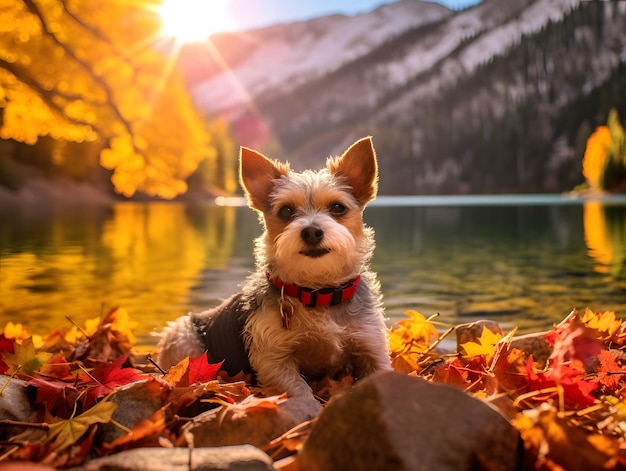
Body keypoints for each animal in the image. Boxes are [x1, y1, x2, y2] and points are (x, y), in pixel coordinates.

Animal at [156, 136, 390, 398]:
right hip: (182, 338)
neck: (318, 293)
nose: (311, 231)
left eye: (338, 208)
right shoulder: (274, 360)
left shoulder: (372, 347)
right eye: (286, 210)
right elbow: (300, 391)